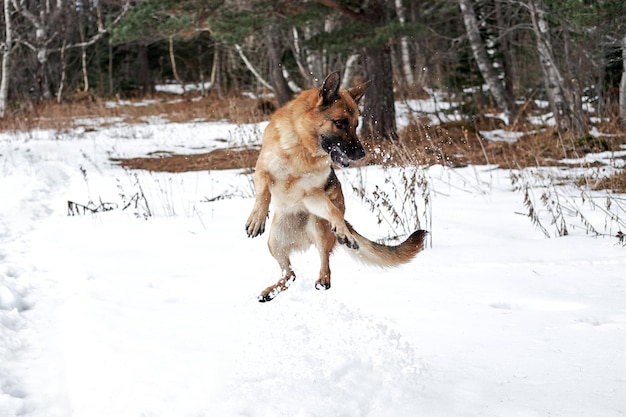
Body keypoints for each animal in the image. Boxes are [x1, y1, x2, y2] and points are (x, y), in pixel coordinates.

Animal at [246, 70, 426, 300]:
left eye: (356, 124)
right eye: (340, 123)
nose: (361, 154)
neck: (302, 147)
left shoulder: (312, 195)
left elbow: (333, 211)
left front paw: (342, 230)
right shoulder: (262, 172)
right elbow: (263, 194)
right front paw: (257, 218)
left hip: (317, 225)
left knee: (323, 259)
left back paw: (324, 278)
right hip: (275, 241)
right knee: (290, 275)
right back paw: (271, 291)